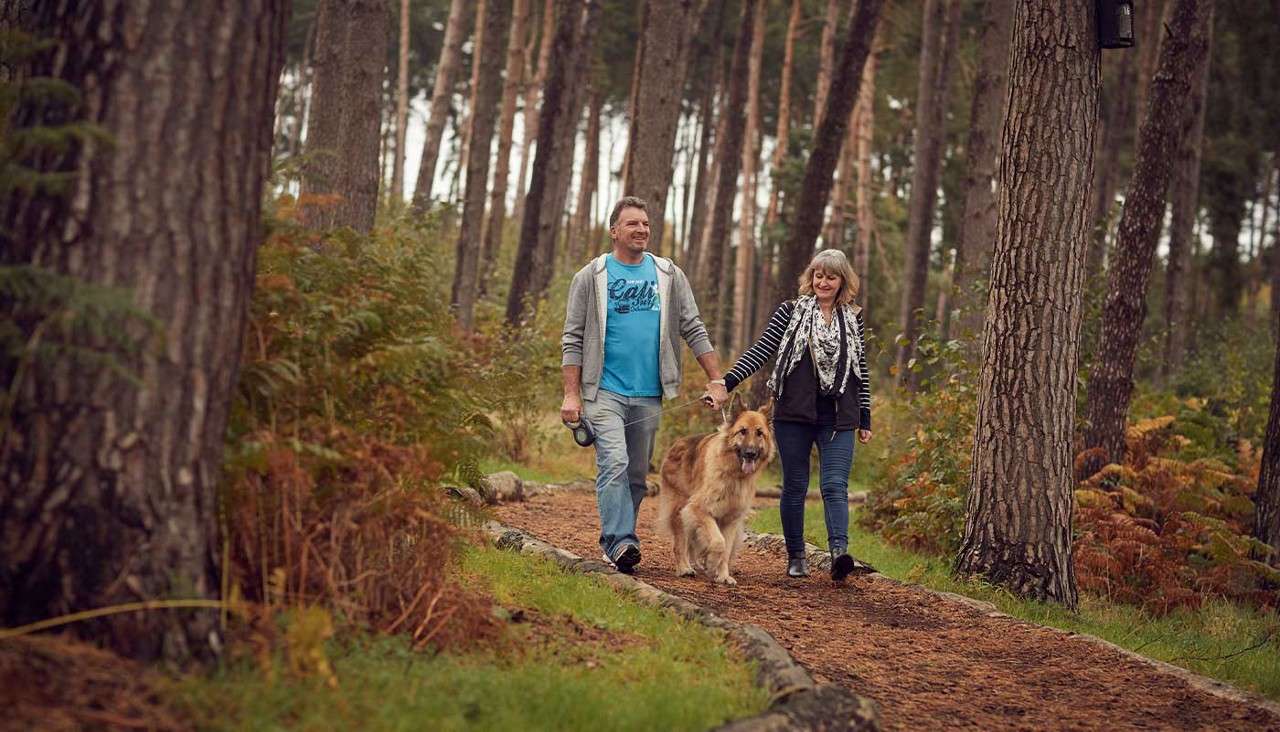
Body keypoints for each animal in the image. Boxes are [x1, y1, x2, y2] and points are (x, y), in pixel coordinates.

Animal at [660, 396, 768, 586]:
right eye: (743, 431)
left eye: (759, 433)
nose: (750, 453)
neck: (734, 475)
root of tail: (677, 444)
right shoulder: (699, 509)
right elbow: (718, 542)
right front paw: (711, 562)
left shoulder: (731, 520)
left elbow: (726, 548)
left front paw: (723, 575)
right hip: (680, 510)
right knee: (680, 544)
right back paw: (684, 567)